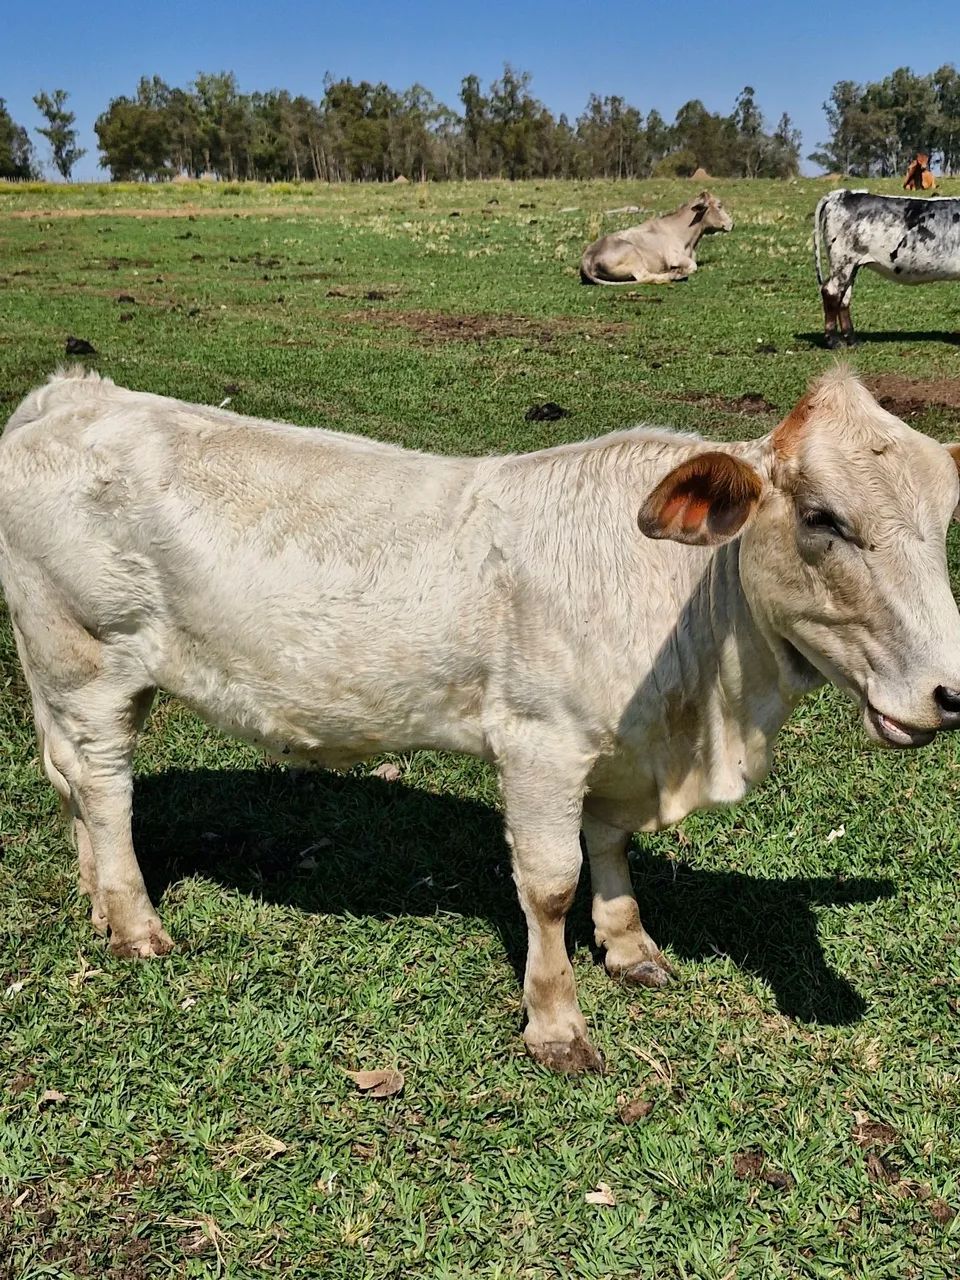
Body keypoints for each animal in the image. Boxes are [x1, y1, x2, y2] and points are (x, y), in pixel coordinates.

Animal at [2, 366, 960, 1074]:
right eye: (823, 519)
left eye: (944, 523)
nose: (950, 691)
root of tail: (74, 393)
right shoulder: (539, 741)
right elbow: (550, 881)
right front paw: (557, 1024)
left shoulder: (614, 746)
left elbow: (609, 846)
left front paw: (630, 948)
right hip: (85, 658)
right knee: (105, 785)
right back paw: (134, 923)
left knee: (72, 780)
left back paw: (96, 898)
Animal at [580, 191, 733, 285]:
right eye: (719, 206)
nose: (732, 223)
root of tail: (587, 257)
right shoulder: (674, 257)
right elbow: (693, 266)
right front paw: (678, 270)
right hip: (633, 255)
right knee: (645, 276)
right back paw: (674, 275)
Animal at [814, 188, 960, 347]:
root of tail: (844, 193)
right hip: (842, 260)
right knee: (831, 292)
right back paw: (833, 340)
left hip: (851, 265)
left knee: (844, 297)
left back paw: (852, 339)